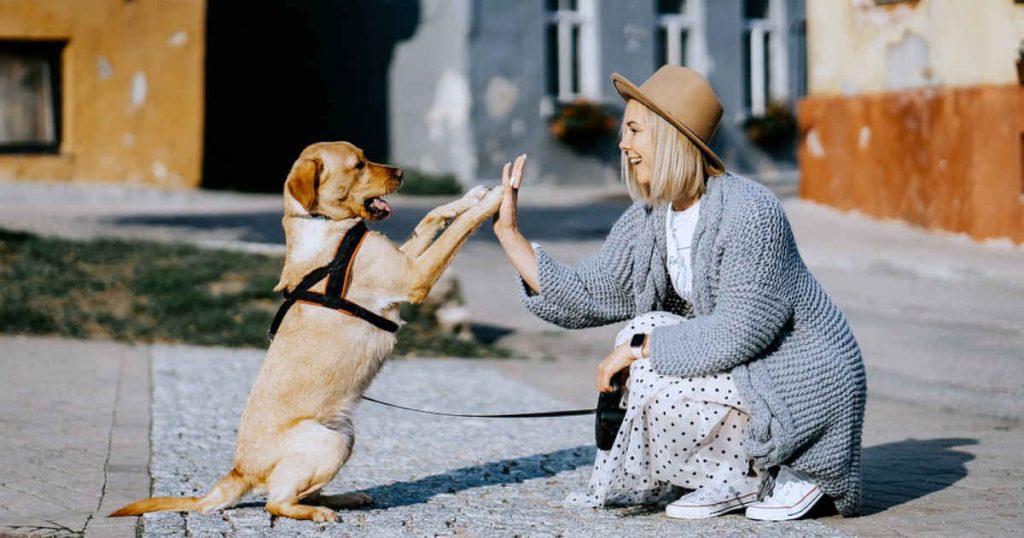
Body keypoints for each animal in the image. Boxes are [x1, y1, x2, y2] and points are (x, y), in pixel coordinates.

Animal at [112, 141, 520, 520]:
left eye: (366, 156)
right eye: (358, 165)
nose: (402, 172)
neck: (325, 225)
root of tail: (239, 471)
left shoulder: (404, 261)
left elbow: (432, 217)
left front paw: (471, 196)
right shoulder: (413, 277)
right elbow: (458, 230)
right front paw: (496, 198)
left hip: (345, 435)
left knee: (300, 494)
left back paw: (345, 498)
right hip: (328, 443)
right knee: (276, 502)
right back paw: (319, 512)